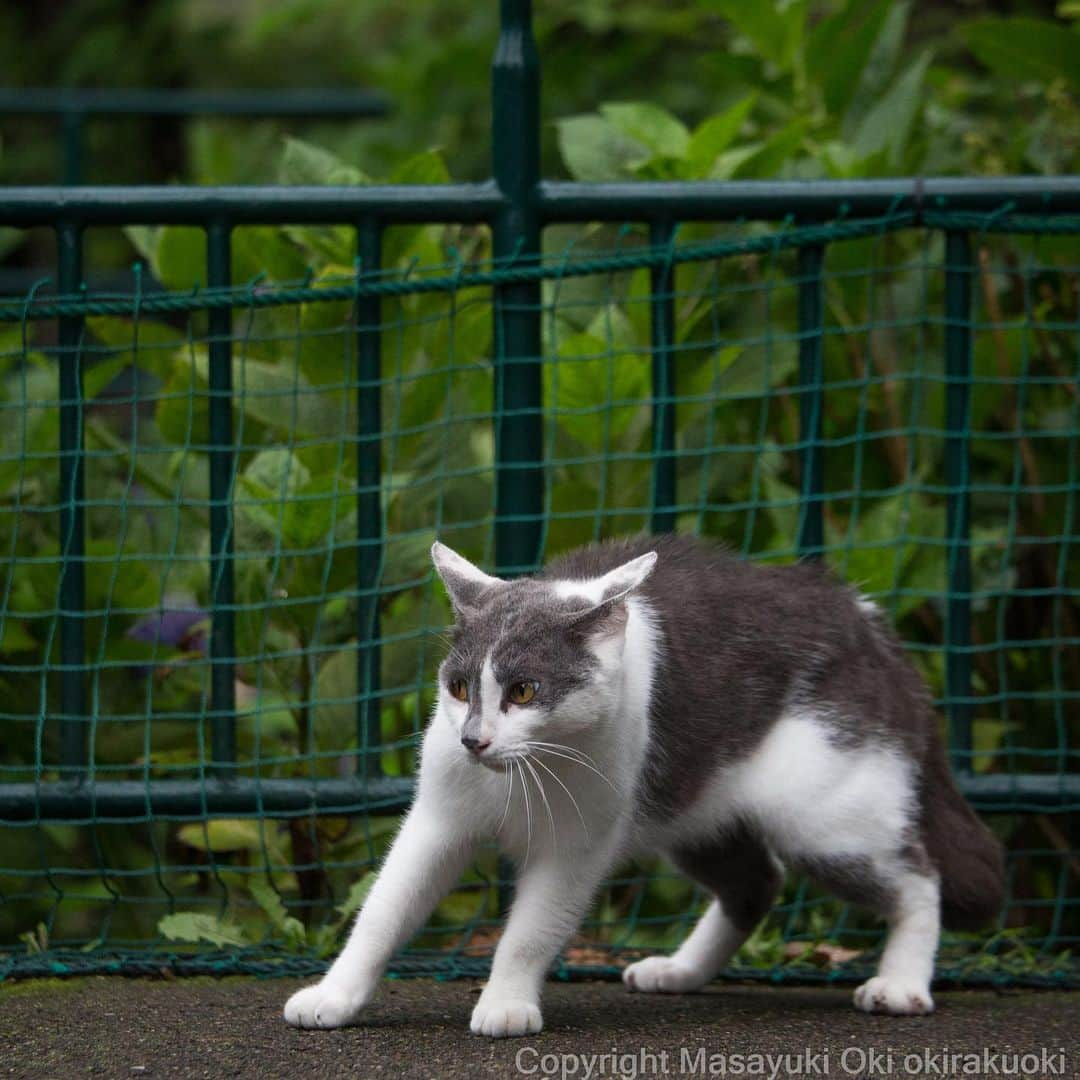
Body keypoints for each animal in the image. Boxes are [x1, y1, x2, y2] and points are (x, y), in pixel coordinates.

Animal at [285, 531, 1002, 1036]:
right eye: (459, 688)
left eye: (524, 692)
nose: (473, 740)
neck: (518, 776)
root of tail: (862, 613)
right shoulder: (438, 819)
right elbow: (383, 910)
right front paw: (334, 996)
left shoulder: (576, 844)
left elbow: (530, 931)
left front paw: (506, 1003)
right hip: (694, 808)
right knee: (756, 883)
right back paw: (680, 971)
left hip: (823, 817)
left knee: (919, 878)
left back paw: (901, 985)